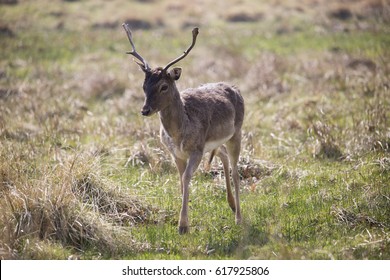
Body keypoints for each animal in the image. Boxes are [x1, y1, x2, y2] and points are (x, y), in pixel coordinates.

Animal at [122, 23, 244, 234]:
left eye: (163, 86)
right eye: (144, 86)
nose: (145, 110)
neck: (179, 135)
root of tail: (235, 88)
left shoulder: (196, 149)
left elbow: (187, 177)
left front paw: (183, 225)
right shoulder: (175, 153)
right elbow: (180, 180)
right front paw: (184, 217)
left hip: (236, 133)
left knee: (236, 172)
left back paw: (238, 217)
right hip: (214, 143)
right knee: (223, 156)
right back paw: (231, 204)